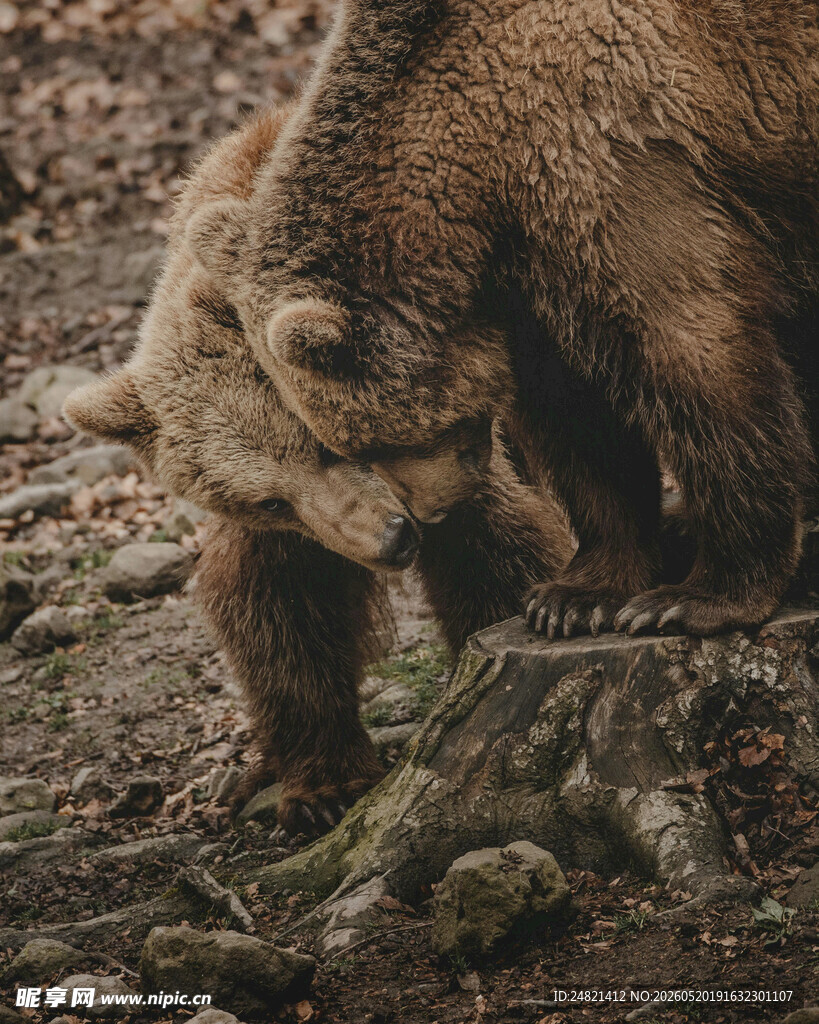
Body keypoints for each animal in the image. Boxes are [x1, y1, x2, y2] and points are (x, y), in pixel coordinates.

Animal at [63, 107, 573, 834]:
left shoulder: (448, 454)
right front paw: (322, 787)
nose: (391, 538)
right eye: (269, 500)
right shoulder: (296, 526)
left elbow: (495, 551)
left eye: (331, 446)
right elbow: (280, 608)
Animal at [186, 0, 819, 641]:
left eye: (360, 447)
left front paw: (692, 598)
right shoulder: (532, 278)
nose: (430, 513)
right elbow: (577, 418)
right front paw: (572, 598)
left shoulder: (612, 168)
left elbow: (694, 354)